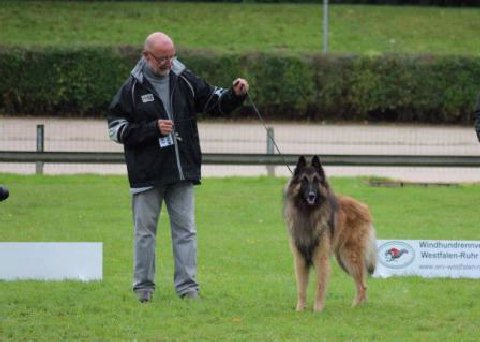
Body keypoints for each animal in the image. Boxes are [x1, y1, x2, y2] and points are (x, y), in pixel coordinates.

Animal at [284, 156, 376, 312]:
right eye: (304, 180)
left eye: (316, 181)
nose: (311, 195)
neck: (308, 213)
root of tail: (364, 207)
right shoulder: (300, 259)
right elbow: (301, 287)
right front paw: (300, 309)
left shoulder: (321, 257)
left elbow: (320, 285)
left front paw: (317, 309)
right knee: (363, 283)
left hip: (349, 255)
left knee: (362, 286)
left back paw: (354, 307)